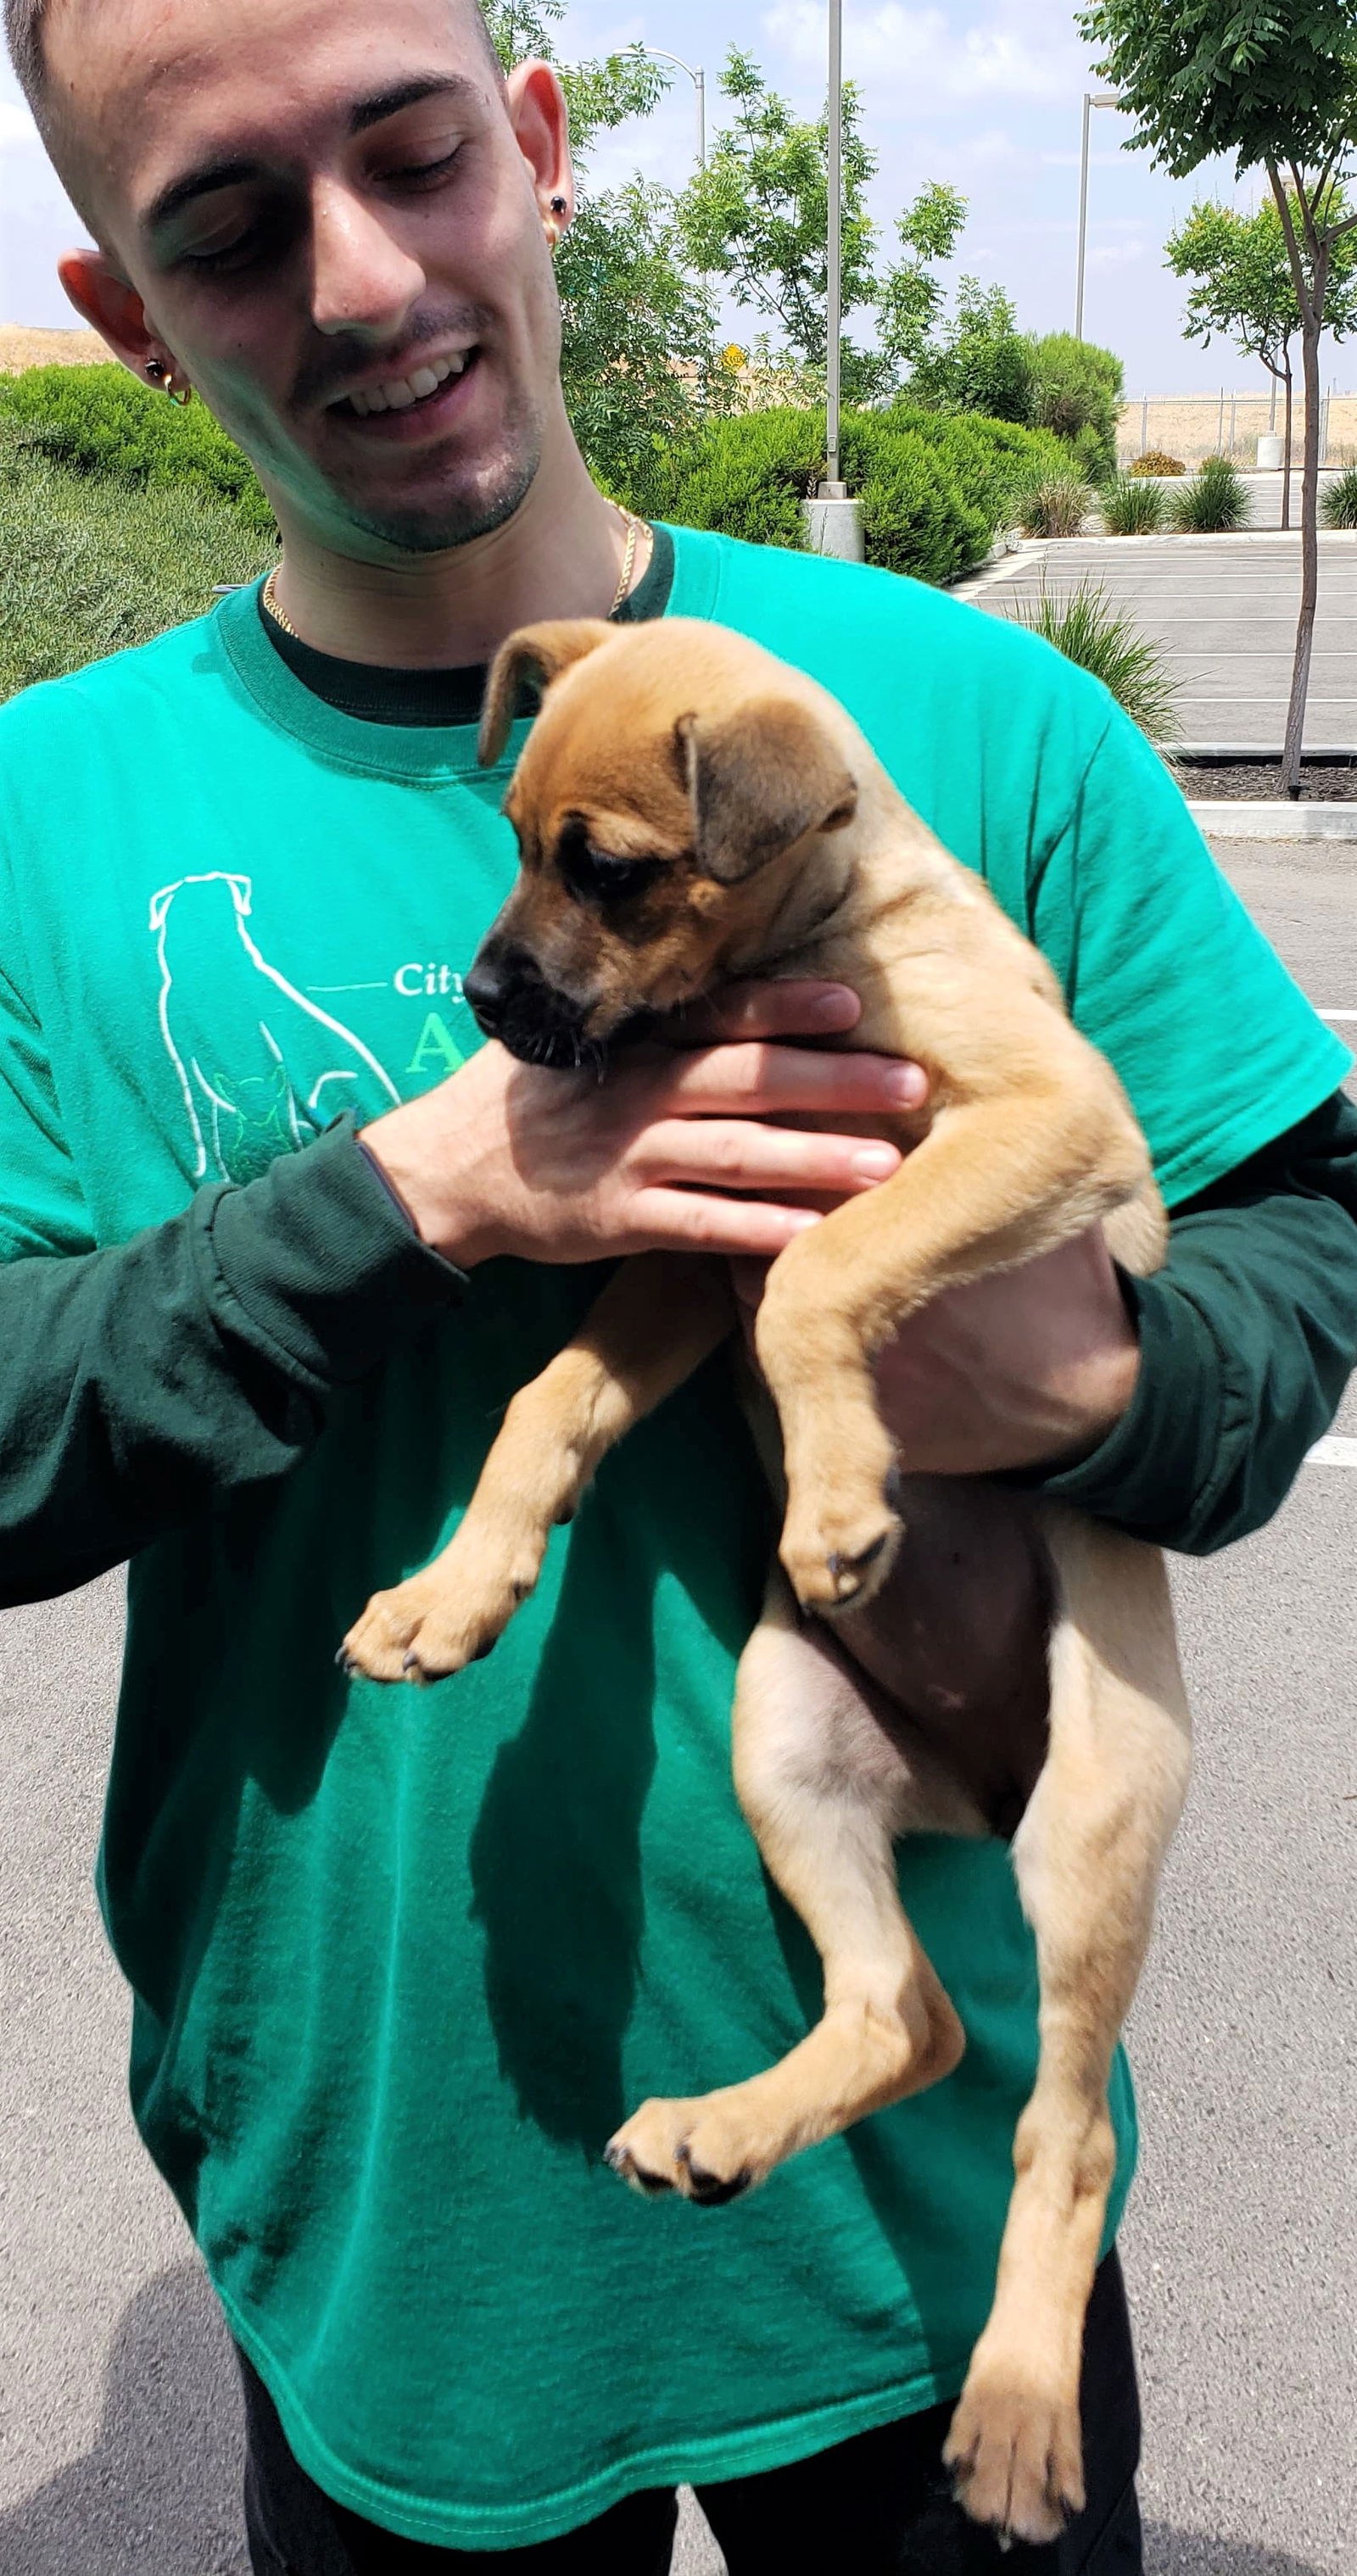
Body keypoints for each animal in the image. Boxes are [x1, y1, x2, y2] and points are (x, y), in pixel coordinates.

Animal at [344, 613, 1194, 2545]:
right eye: (512, 833)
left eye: (605, 868)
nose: (486, 1003)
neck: (813, 941)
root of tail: (986, 1777)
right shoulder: (682, 1244)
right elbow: (546, 1402)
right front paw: (450, 1595)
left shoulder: (1045, 1124)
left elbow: (833, 1269)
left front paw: (841, 1499)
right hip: (783, 1731)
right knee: (911, 2015)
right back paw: (719, 2128)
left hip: (1092, 1815)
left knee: (1066, 2126)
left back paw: (1014, 2407)